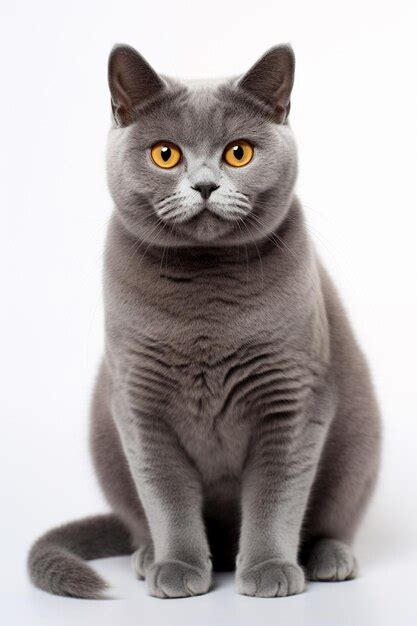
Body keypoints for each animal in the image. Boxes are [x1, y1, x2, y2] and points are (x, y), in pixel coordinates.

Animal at [28, 41, 380, 596]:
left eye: (239, 152)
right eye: (165, 153)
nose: (206, 185)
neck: (206, 301)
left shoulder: (293, 397)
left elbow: (276, 495)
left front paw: (268, 570)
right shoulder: (139, 404)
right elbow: (167, 495)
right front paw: (178, 566)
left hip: (358, 449)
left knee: (332, 518)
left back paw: (329, 558)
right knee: (138, 519)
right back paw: (149, 556)